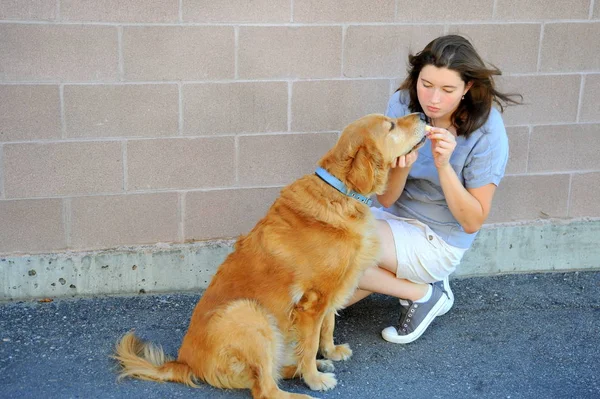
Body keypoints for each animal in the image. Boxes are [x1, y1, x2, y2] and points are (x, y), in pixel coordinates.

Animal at [112, 113, 426, 399]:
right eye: (391, 125)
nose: (422, 115)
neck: (341, 193)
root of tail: (184, 362)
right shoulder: (312, 302)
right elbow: (310, 343)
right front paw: (314, 378)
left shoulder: (331, 292)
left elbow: (328, 327)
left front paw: (330, 352)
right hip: (250, 314)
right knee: (265, 389)